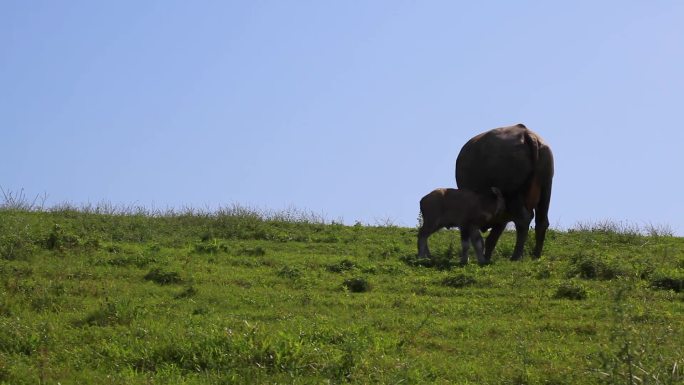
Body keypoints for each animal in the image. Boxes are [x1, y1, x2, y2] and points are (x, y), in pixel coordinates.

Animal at [454, 124, 556, 260]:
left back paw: (515, 257)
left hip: (514, 195)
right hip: (546, 189)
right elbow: (492, 238)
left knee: (523, 220)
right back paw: (536, 256)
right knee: (541, 222)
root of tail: (525, 133)